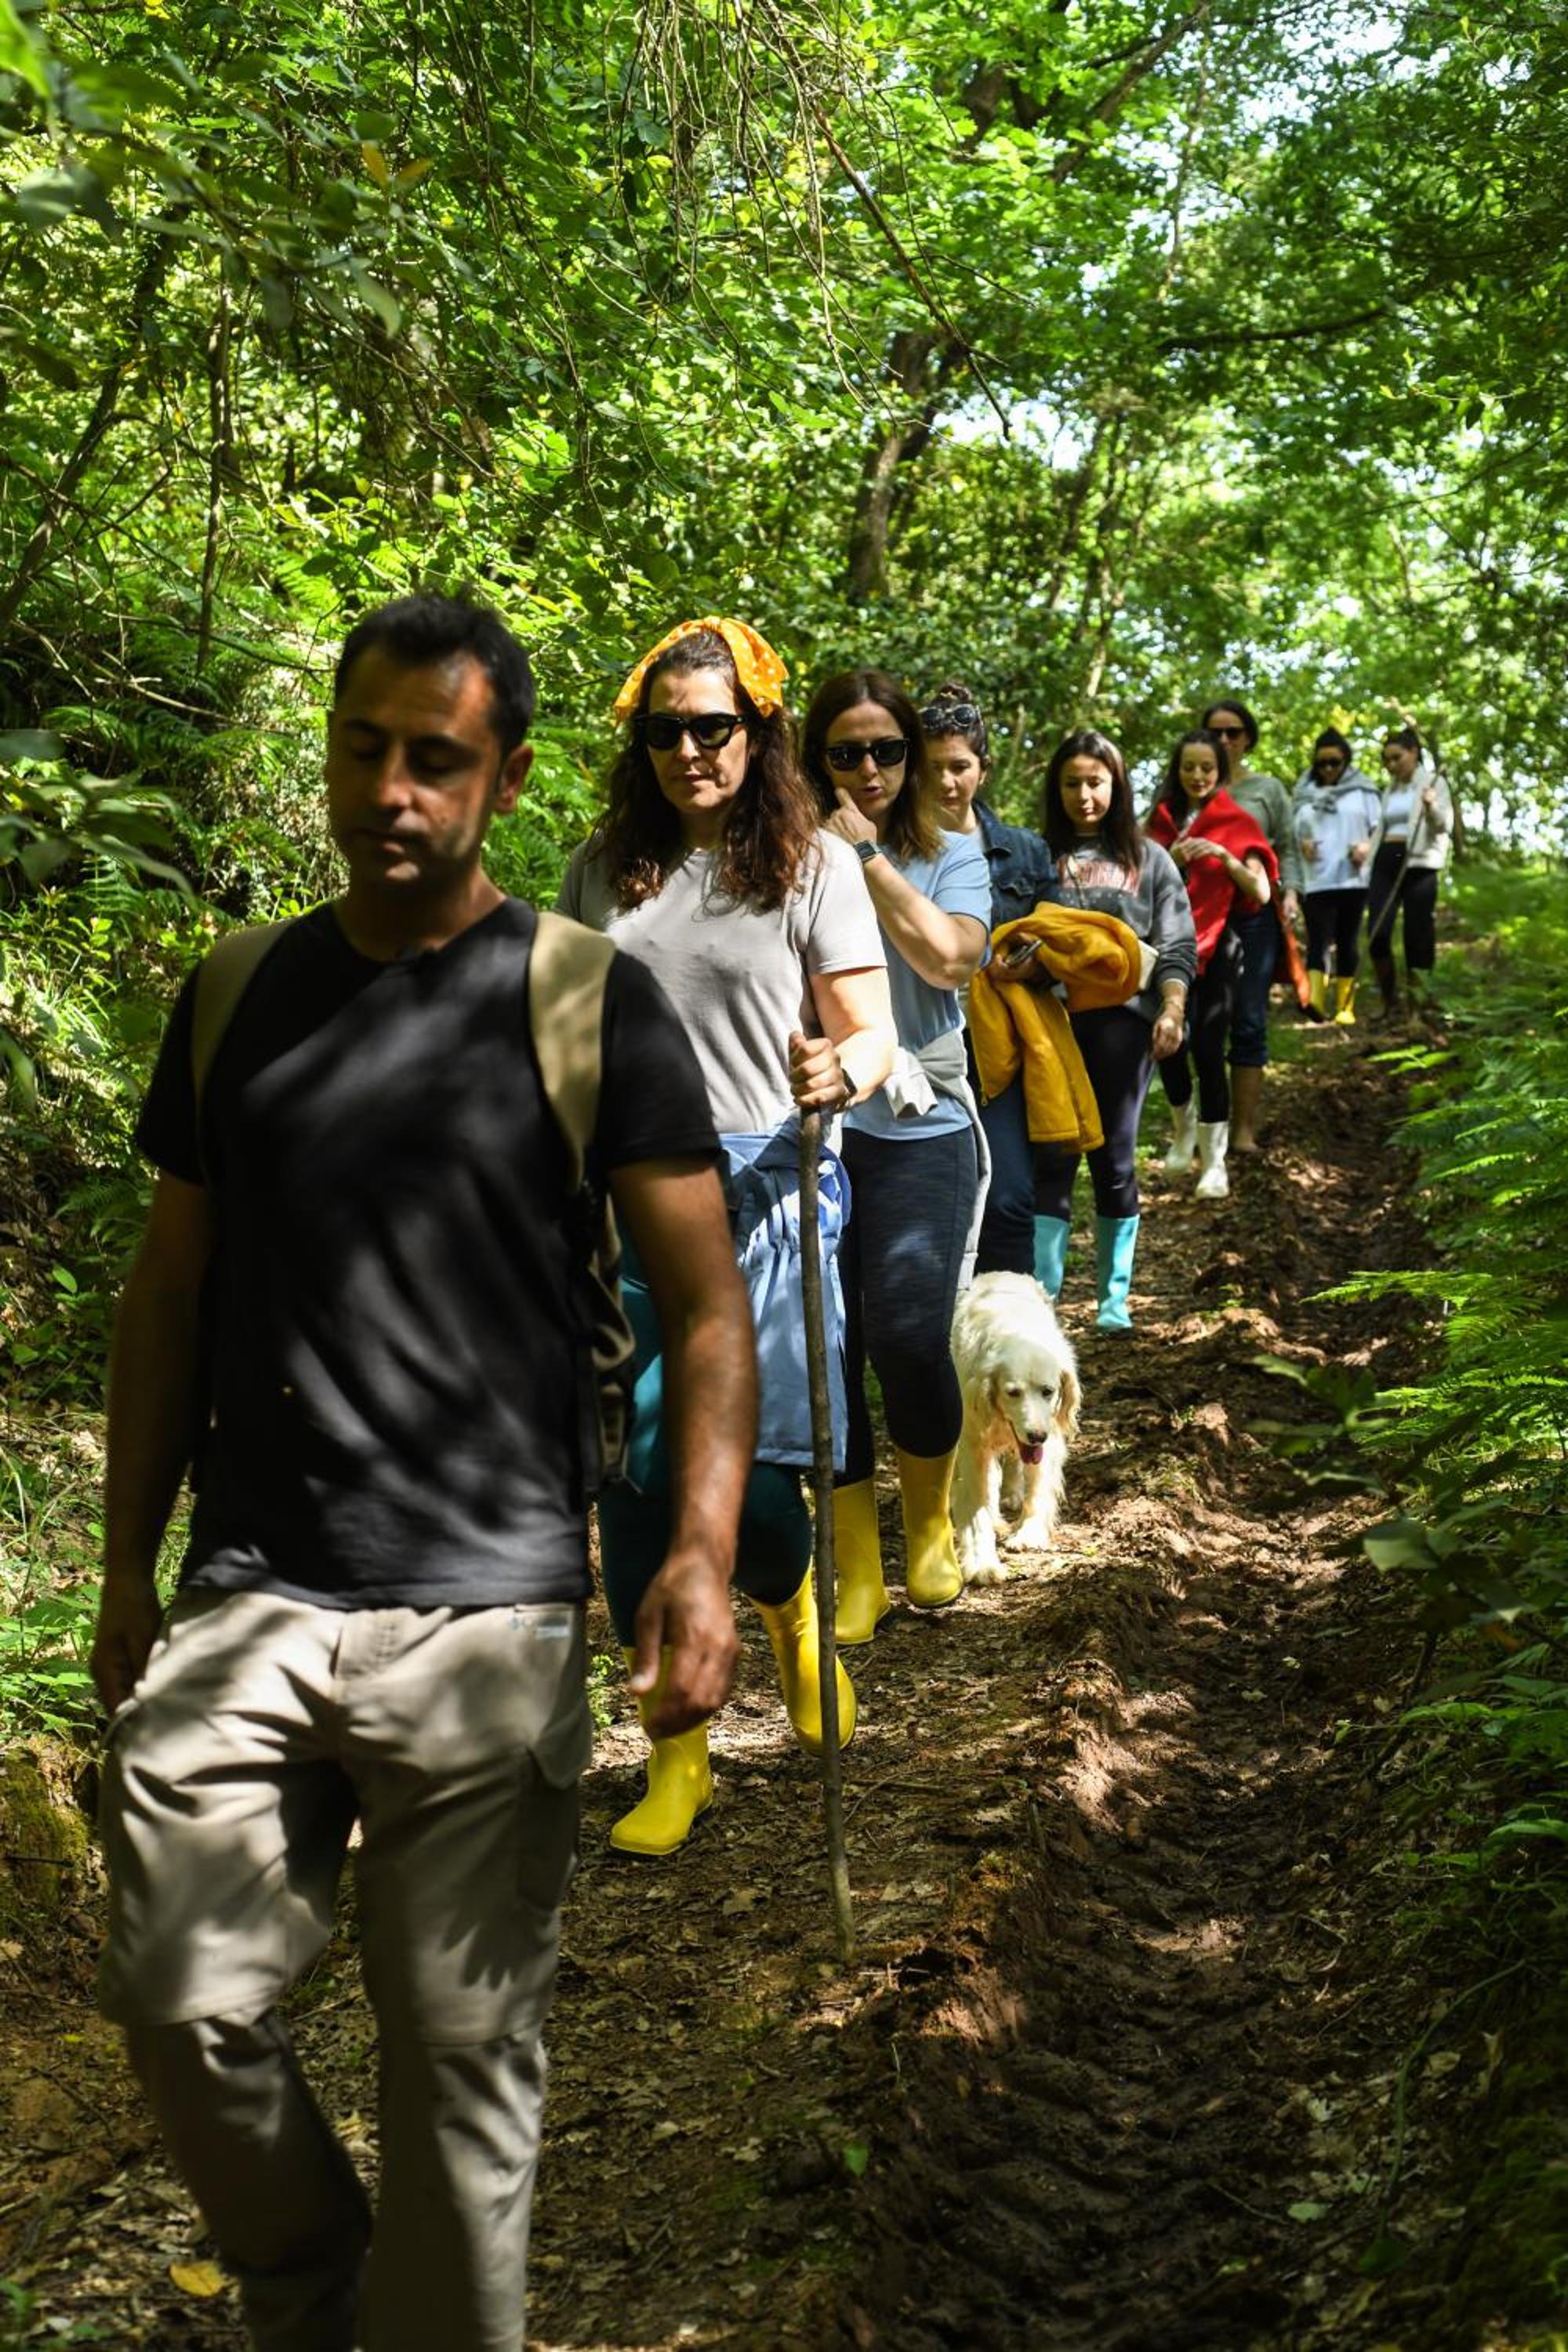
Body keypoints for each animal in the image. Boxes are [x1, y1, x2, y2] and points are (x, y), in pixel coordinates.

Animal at [950, 1272, 1081, 1586]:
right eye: (1013, 1393)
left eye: (1048, 1391)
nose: (1035, 1436)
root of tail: (1001, 1273)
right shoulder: (973, 1448)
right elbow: (978, 1510)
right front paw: (982, 1563)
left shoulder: (1048, 1442)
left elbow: (1038, 1489)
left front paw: (1029, 1533)